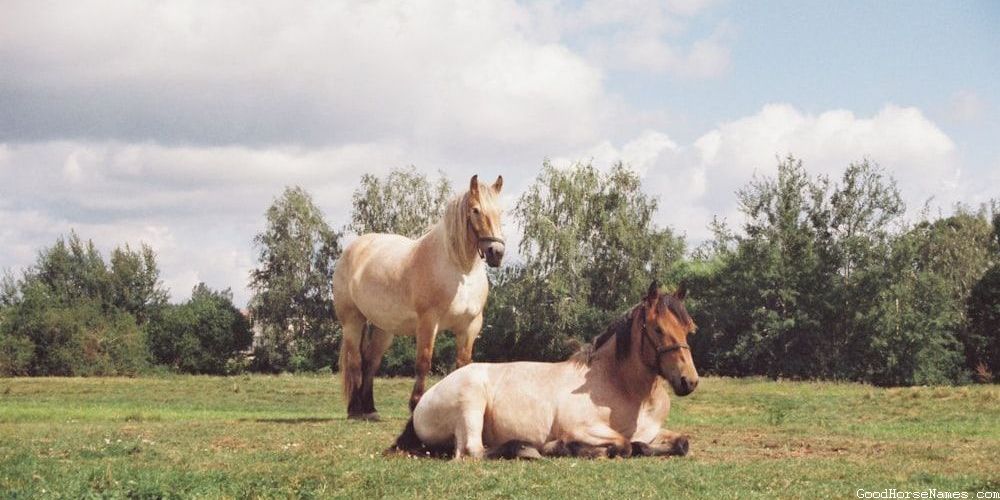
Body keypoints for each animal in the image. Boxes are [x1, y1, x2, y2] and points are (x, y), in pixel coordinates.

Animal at [333, 174, 505, 420]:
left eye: (500, 211)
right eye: (475, 210)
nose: (496, 253)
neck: (460, 270)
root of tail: (352, 249)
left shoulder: (470, 326)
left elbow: (463, 365)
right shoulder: (428, 322)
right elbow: (423, 362)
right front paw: (415, 405)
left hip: (384, 328)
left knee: (371, 362)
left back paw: (370, 409)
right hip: (352, 321)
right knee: (355, 360)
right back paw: (355, 410)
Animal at [388, 281, 698, 459]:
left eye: (688, 329)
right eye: (657, 329)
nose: (689, 381)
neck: (623, 388)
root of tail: (422, 403)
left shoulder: (652, 431)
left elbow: (680, 443)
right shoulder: (584, 428)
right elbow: (623, 444)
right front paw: (563, 447)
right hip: (471, 403)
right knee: (472, 451)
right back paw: (526, 449)